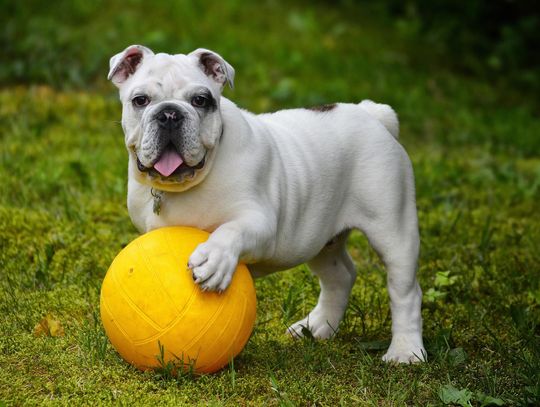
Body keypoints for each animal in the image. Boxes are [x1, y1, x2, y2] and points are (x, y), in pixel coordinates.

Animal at [106, 44, 426, 364]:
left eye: (200, 100)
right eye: (140, 100)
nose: (170, 114)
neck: (187, 184)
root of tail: (371, 113)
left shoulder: (260, 223)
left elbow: (230, 231)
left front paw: (214, 259)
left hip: (392, 229)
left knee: (405, 291)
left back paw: (406, 350)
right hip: (320, 238)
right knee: (340, 276)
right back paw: (317, 327)